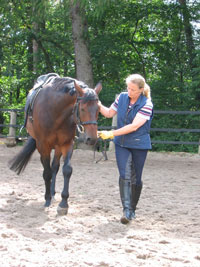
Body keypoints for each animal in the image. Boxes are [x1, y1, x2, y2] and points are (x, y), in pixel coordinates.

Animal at [8, 74, 101, 217]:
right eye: (83, 108)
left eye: (98, 109)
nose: (92, 139)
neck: (56, 112)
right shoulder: (43, 146)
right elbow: (46, 173)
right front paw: (47, 199)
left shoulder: (67, 144)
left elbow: (66, 170)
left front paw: (63, 203)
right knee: (50, 170)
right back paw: (49, 195)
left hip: (58, 147)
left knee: (55, 167)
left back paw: (52, 192)